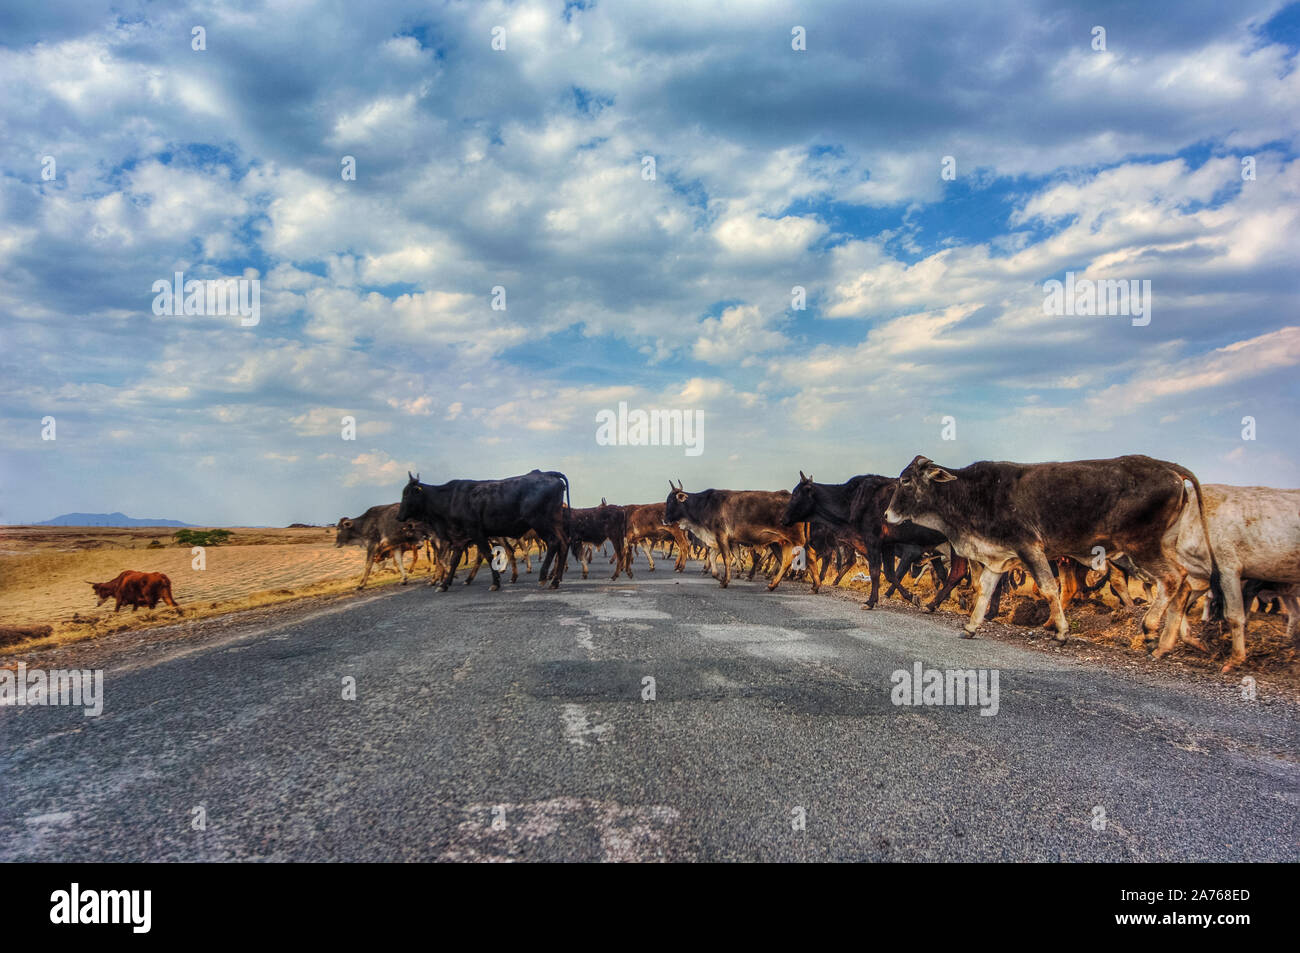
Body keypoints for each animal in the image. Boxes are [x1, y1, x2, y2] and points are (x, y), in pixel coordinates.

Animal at [397, 468, 572, 587]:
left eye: (407, 494)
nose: (398, 517)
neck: (449, 498)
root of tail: (548, 474)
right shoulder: (460, 538)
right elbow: (454, 560)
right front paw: (445, 584)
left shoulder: (475, 533)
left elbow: (488, 555)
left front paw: (495, 583)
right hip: (554, 524)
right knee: (563, 544)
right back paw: (555, 580)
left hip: (541, 523)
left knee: (554, 543)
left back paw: (544, 576)